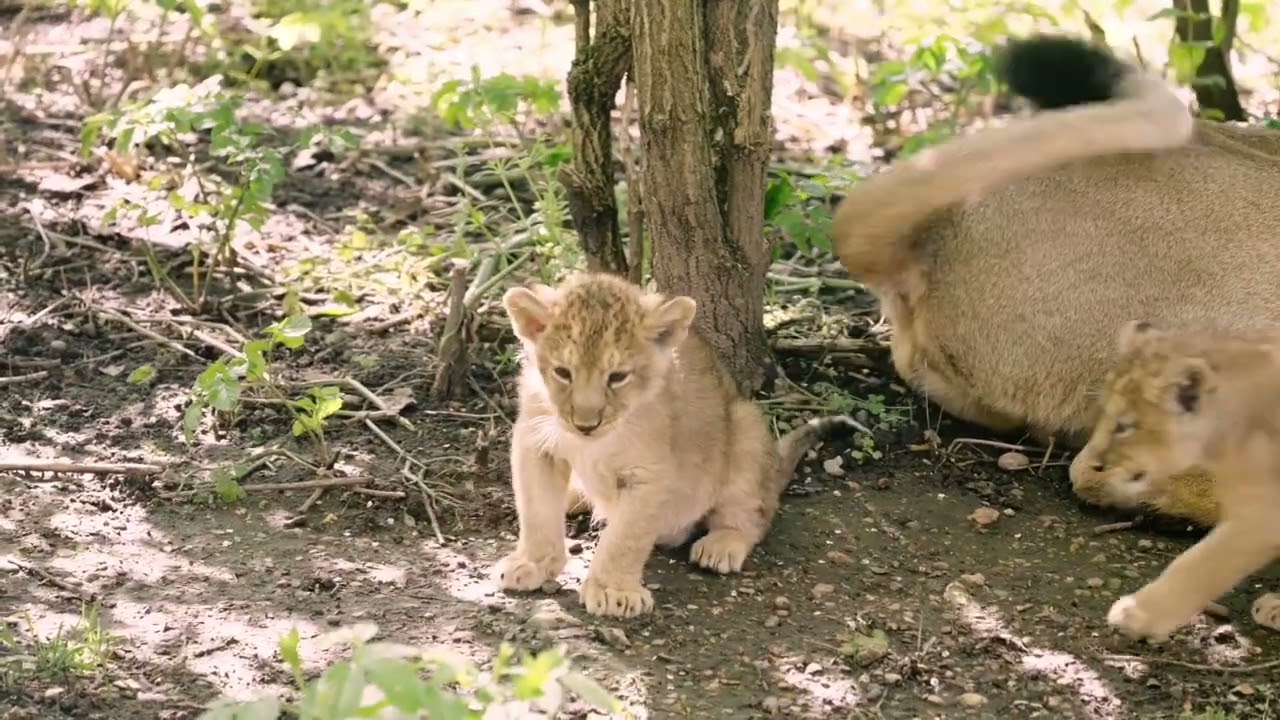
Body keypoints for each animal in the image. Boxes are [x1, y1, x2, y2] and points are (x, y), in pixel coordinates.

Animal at [491, 272, 857, 618]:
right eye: (563, 372)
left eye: (617, 377)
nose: (585, 424)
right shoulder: (534, 444)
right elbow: (537, 513)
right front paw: (532, 563)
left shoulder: (649, 473)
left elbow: (625, 537)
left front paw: (613, 592)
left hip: (746, 429)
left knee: (756, 515)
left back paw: (722, 544)